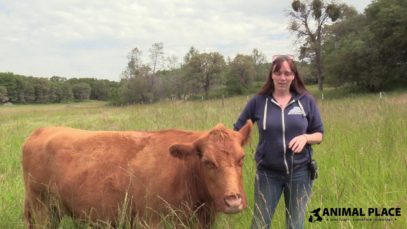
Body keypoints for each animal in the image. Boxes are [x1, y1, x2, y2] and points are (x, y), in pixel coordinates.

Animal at [22, 121, 253, 228]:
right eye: (207, 162)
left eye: (241, 158)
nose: (233, 200)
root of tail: (42, 130)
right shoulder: (151, 221)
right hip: (41, 209)